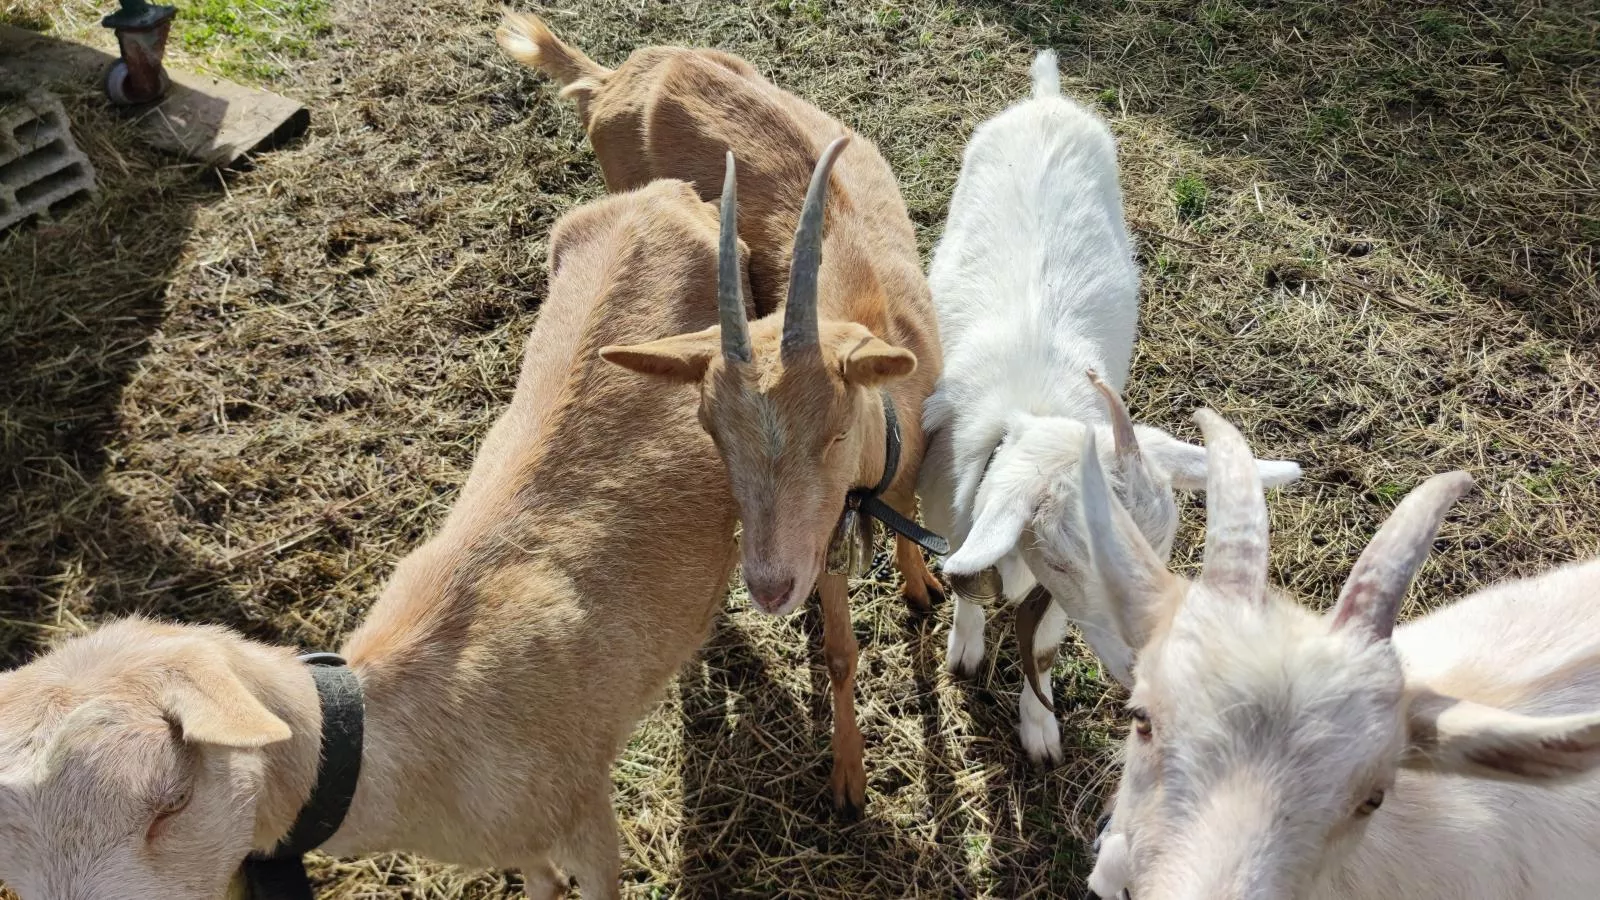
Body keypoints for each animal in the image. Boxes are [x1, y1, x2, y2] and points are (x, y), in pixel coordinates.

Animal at [502, 10, 947, 816]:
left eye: (835, 431)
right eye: (711, 432)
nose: (768, 587)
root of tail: (614, 79)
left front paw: (920, 587)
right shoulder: (820, 543)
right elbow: (840, 651)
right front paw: (849, 779)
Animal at [928, 49, 1299, 759]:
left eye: (1164, 547)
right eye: (1066, 556)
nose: (1150, 671)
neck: (1030, 405)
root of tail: (1047, 100)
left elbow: (1043, 650)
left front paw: (1040, 729)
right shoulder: (956, 515)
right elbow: (968, 588)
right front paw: (965, 651)